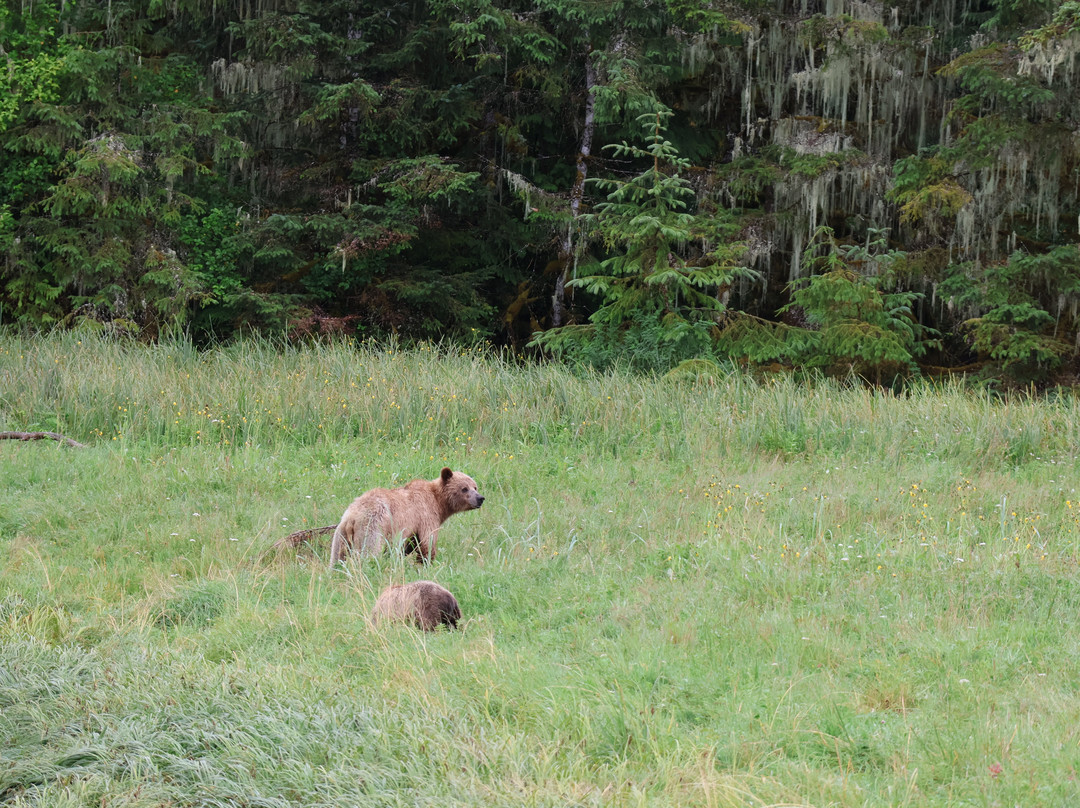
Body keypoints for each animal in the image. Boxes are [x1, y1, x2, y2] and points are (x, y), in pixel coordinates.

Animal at [328, 467, 484, 566]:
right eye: (464, 488)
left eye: (475, 487)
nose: (480, 498)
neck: (439, 504)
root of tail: (353, 516)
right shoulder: (426, 515)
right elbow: (427, 542)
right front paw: (426, 563)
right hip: (373, 526)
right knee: (370, 552)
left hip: (341, 533)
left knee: (337, 556)